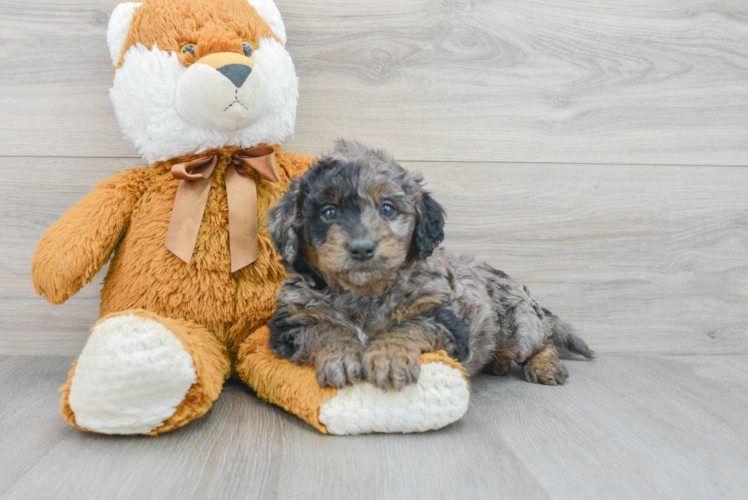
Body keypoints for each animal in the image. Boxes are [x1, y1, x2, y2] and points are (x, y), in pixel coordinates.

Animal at [266, 141, 592, 390]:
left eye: (387, 208)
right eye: (328, 212)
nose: (361, 248)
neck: (363, 294)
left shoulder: (444, 319)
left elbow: (408, 326)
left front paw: (389, 357)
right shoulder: (289, 324)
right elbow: (323, 328)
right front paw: (341, 357)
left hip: (519, 324)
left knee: (541, 341)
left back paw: (544, 366)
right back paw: (497, 363)